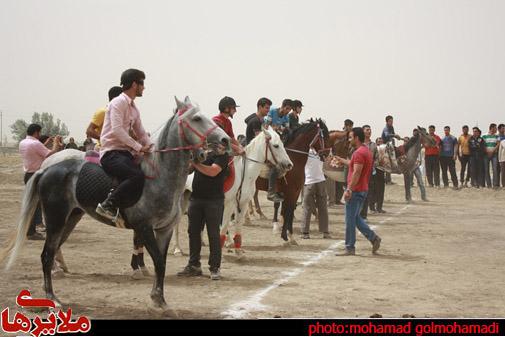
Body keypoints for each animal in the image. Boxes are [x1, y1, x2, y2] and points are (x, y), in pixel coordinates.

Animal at [0, 95, 229, 316]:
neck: (158, 176)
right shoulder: (144, 227)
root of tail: (47, 169)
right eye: (197, 118)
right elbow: (158, 261)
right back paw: (52, 300)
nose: (225, 139)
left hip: (71, 218)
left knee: (54, 250)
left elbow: (161, 264)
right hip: (55, 219)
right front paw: (156, 299)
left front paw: (160, 301)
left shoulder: (164, 229)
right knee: (46, 255)